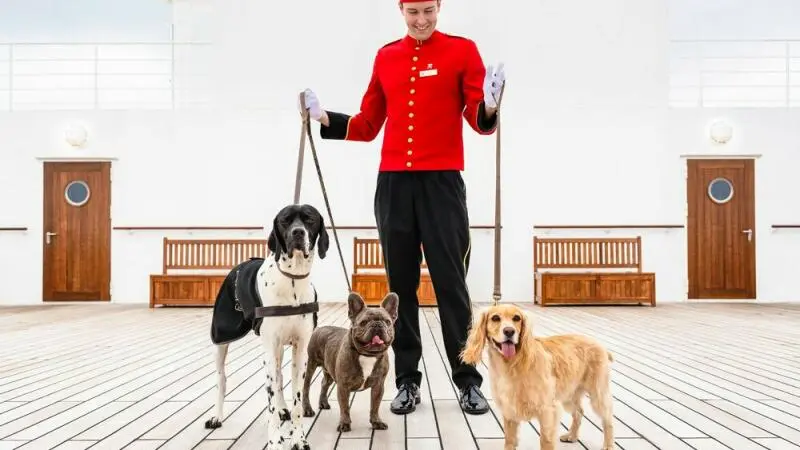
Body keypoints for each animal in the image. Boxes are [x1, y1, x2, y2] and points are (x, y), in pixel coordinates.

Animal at [203, 204, 328, 450]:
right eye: (284, 220)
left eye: (309, 219)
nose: (297, 233)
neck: (292, 280)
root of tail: (239, 266)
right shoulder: (268, 349)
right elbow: (269, 404)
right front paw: (275, 441)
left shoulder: (300, 349)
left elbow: (297, 399)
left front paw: (298, 438)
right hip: (222, 336)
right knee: (221, 379)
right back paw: (217, 416)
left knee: (279, 377)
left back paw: (282, 408)